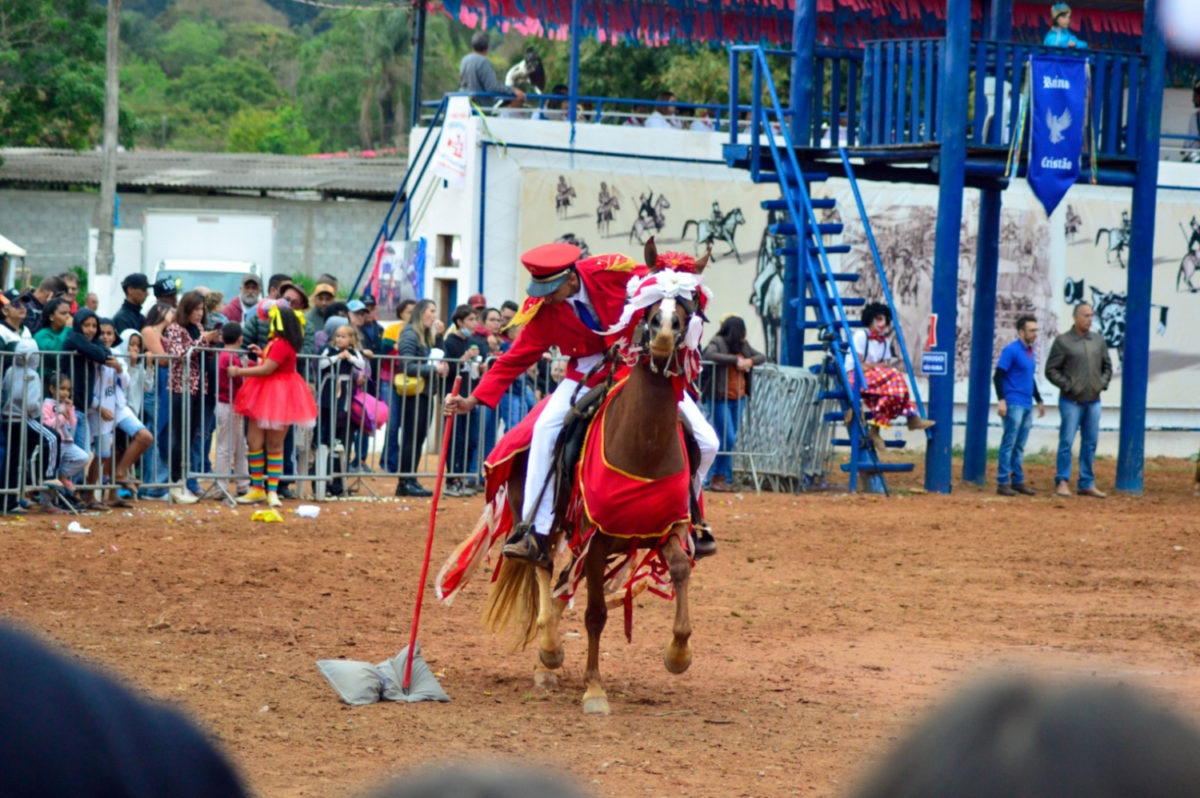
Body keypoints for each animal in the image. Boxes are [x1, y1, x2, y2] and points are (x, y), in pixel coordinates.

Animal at [470, 240, 705, 710]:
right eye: (650, 297)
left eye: (689, 302)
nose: (663, 332)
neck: (643, 445)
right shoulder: (595, 540)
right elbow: (595, 614)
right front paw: (594, 689)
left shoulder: (668, 528)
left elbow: (679, 571)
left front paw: (678, 654)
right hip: (539, 515)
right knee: (543, 566)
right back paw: (548, 652)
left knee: (561, 582)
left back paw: (547, 661)